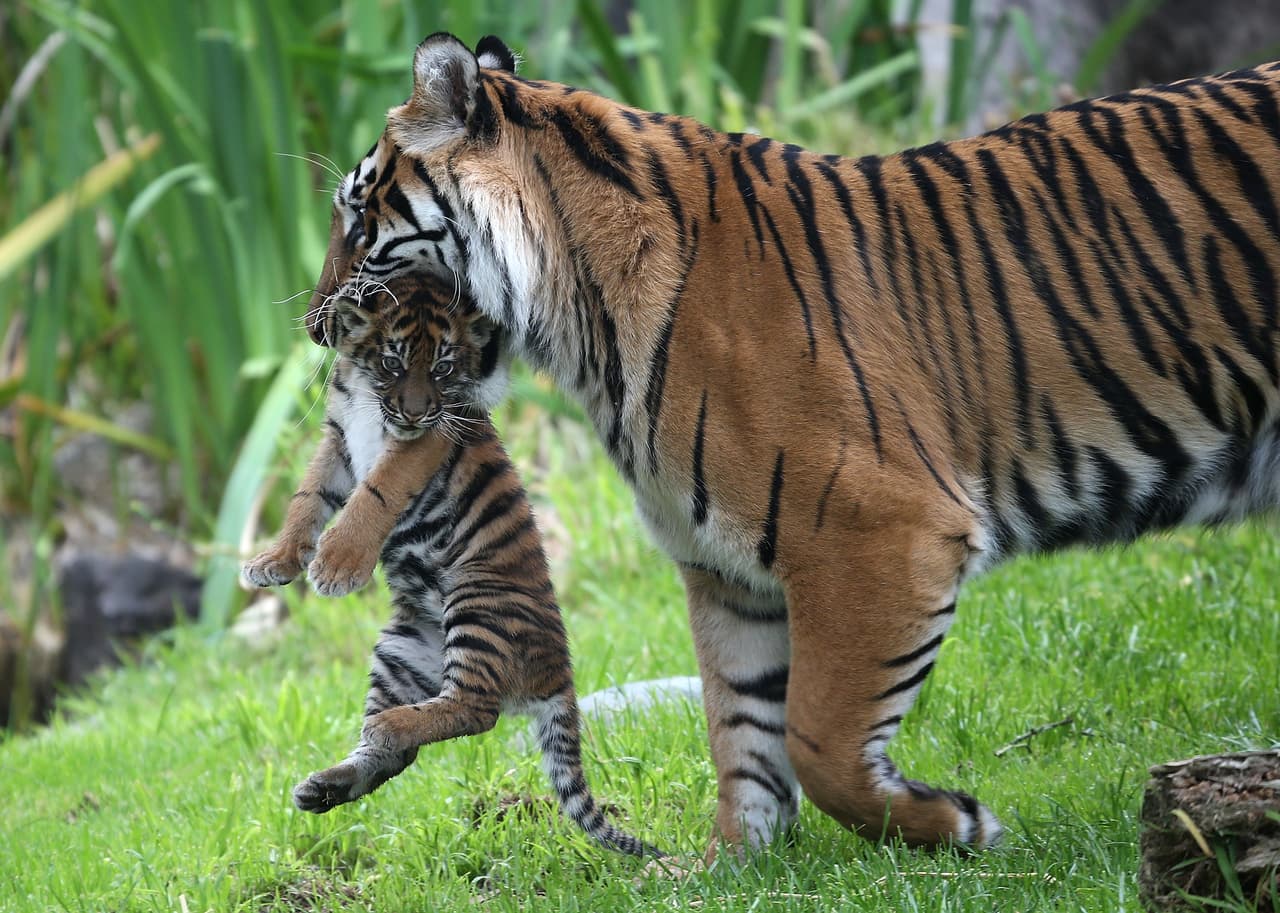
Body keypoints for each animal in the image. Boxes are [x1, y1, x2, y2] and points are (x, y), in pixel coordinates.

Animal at [243, 274, 660, 857]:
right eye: (393, 363)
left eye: (442, 368)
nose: (416, 411)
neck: (368, 396)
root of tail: (561, 675)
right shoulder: (337, 438)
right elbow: (306, 497)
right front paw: (275, 562)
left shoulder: (424, 439)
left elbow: (374, 494)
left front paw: (336, 568)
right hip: (400, 650)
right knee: (406, 747)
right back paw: (329, 783)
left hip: (479, 601)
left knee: (477, 709)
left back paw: (388, 726)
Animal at [298, 33, 1280, 858]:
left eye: (358, 215)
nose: (312, 326)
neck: (582, 319)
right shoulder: (726, 568)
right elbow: (742, 730)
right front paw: (736, 864)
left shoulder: (880, 532)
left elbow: (820, 738)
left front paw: (954, 823)